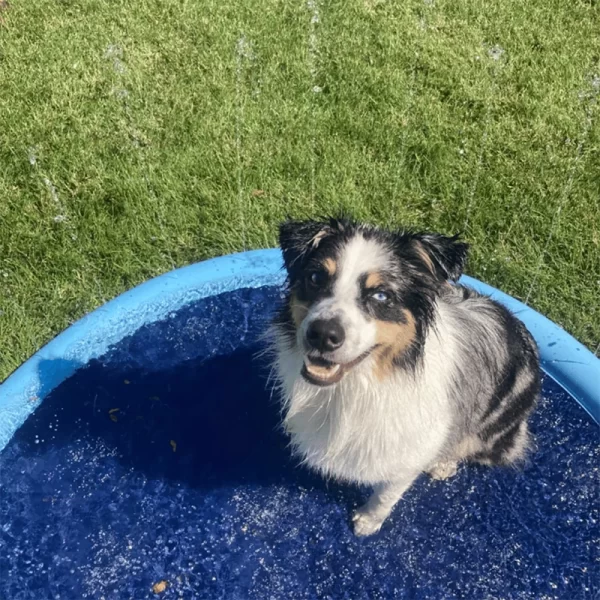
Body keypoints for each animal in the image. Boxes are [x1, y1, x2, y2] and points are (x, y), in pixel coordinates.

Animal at [270, 218, 540, 536]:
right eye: (315, 278)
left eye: (381, 295)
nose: (323, 335)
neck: (361, 383)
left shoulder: (414, 448)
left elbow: (389, 490)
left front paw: (368, 521)